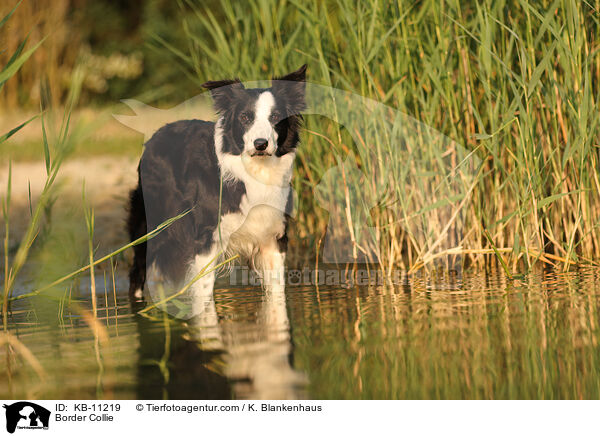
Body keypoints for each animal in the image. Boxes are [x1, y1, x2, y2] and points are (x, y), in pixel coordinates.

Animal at [125, 64, 304, 312]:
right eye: (245, 117)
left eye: (276, 117)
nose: (260, 144)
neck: (254, 172)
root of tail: (154, 137)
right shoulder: (207, 239)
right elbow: (204, 295)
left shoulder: (273, 238)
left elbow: (277, 296)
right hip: (151, 226)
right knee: (138, 272)